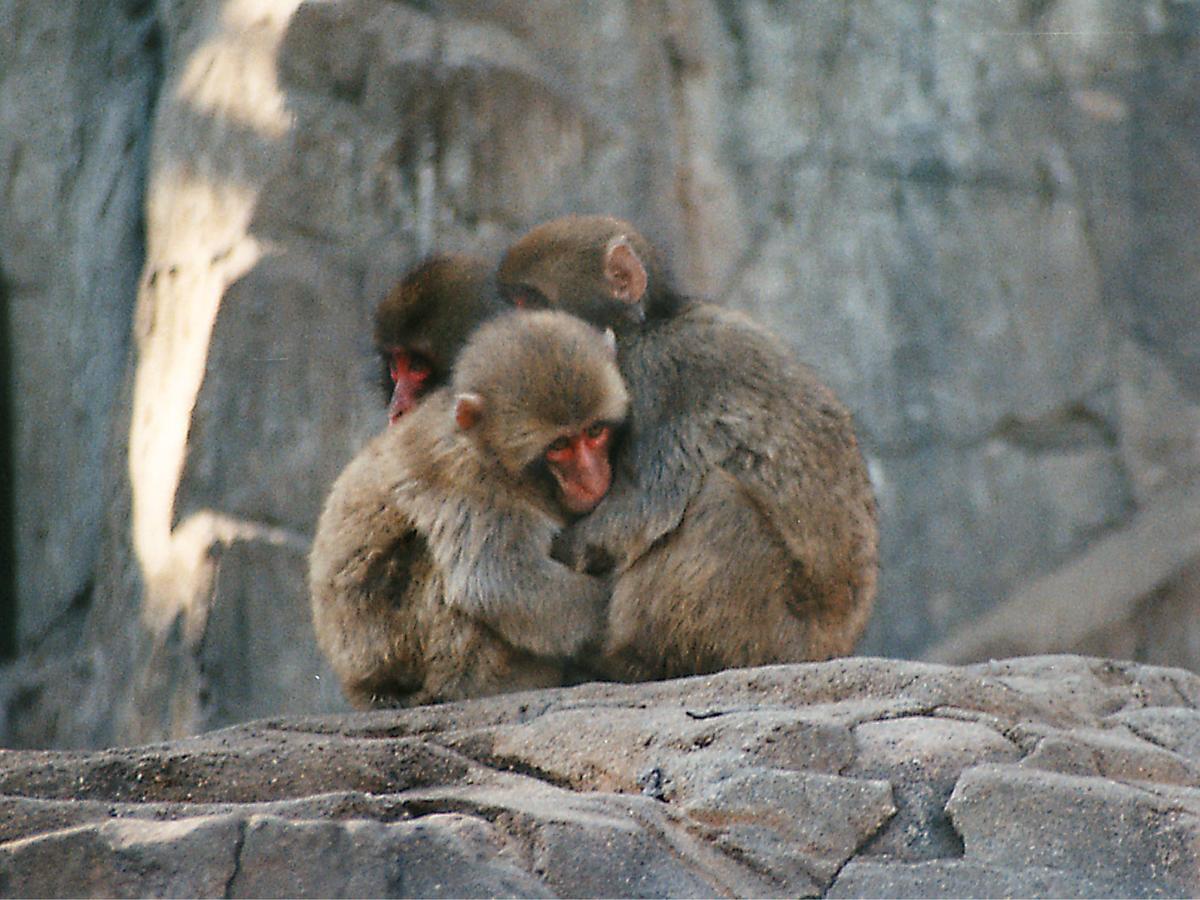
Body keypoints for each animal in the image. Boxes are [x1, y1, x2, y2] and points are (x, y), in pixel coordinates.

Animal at [496, 214, 883, 681]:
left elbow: (639, 509)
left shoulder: (657, 376)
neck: (646, 325)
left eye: (531, 302)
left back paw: (634, 659)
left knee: (718, 505)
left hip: (772, 636)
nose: (513, 336)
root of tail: (833, 647)